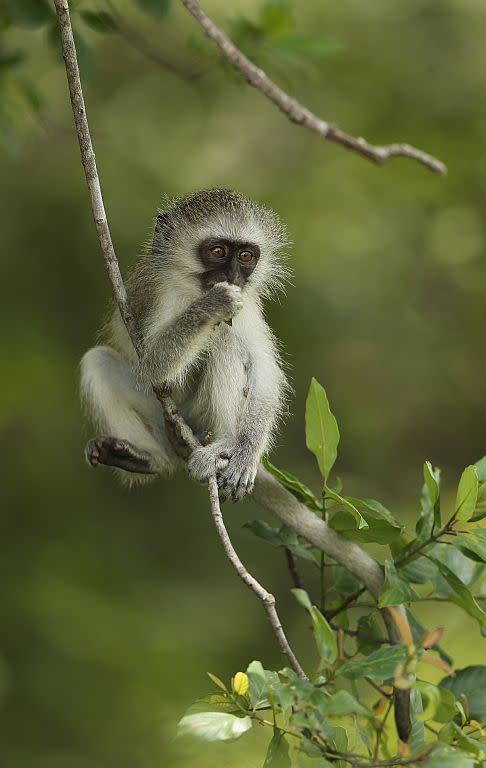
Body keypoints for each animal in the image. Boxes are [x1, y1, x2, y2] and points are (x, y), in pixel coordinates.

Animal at [80, 189, 288, 500]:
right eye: (218, 252)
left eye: (246, 256)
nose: (233, 277)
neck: (195, 289)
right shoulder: (166, 292)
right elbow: (153, 364)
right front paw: (213, 304)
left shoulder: (247, 303)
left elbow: (265, 370)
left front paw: (246, 452)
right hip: (159, 415)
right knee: (99, 361)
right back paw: (147, 458)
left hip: (199, 413)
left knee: (226, 341)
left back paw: (226, 443)